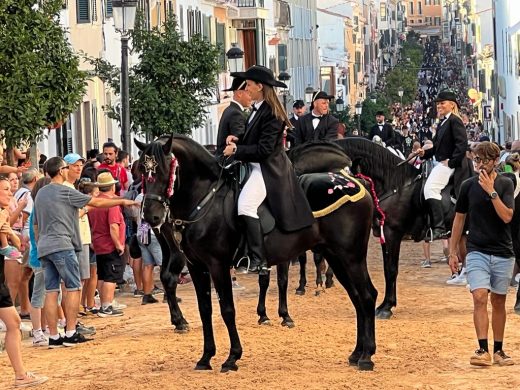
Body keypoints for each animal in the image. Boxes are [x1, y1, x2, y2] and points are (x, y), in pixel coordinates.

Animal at [134, 134, 378, 372]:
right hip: (338, 257)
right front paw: (206, 357)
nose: (151, 216)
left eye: (165, 169)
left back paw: (366, 356)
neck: (206, 200)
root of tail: (358, 188)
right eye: (142, 171)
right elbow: (205, 309)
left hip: (351, 257)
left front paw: (232, 357)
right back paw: (357, 353)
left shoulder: (218, 265)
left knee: (367, 295)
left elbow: (228, 308)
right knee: (357, 297)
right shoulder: (197, 267)